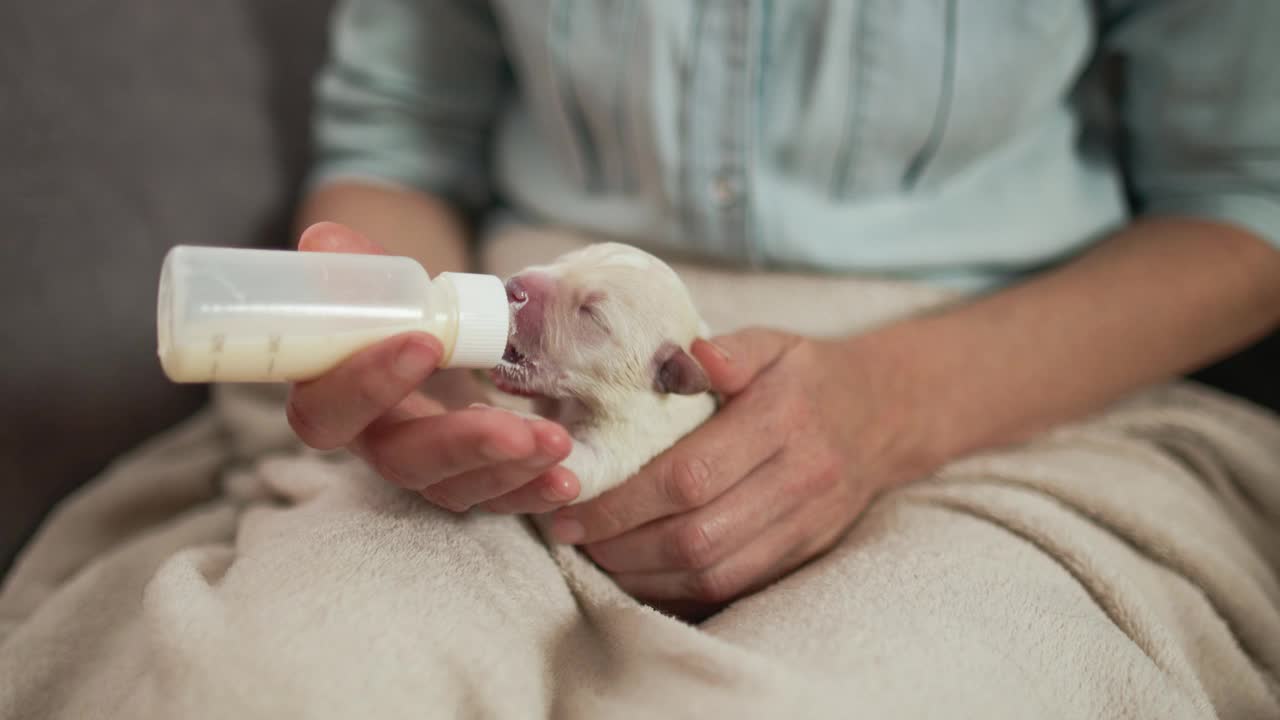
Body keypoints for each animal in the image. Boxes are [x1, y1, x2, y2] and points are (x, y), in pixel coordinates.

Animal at [486, 243, 716, 502]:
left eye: (591, 313)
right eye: (560, 261)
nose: (513, 288)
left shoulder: (627, 440)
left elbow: (586, 463)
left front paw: (521, 421)